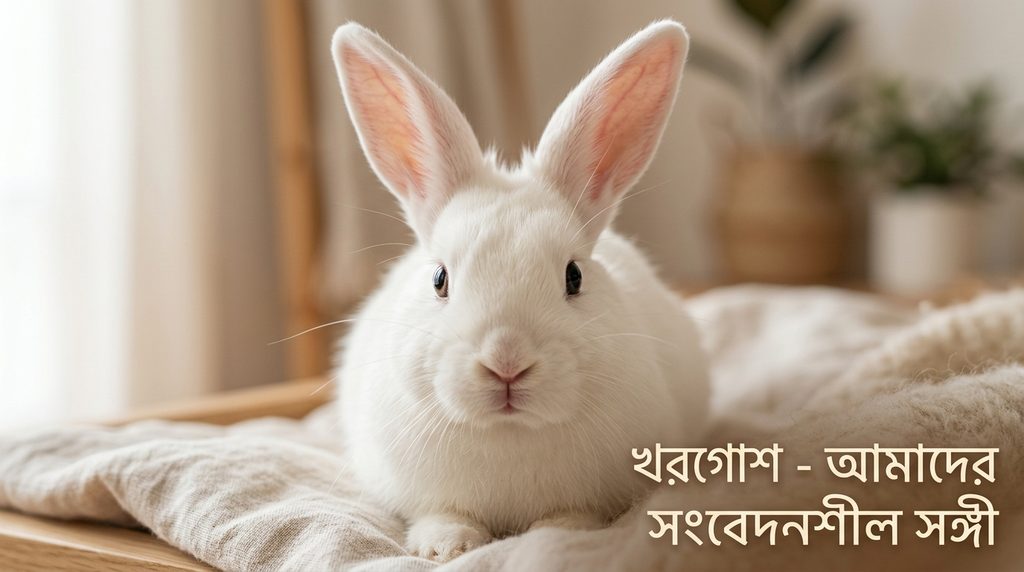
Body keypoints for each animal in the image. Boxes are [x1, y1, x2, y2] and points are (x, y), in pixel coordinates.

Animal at [330, 20, 709, 562]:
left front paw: (560, 534)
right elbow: (442, 515)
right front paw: (448, 548)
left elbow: (572, 518)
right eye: (439, 279)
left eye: (574, 276)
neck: (509, 432)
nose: (506, 362)